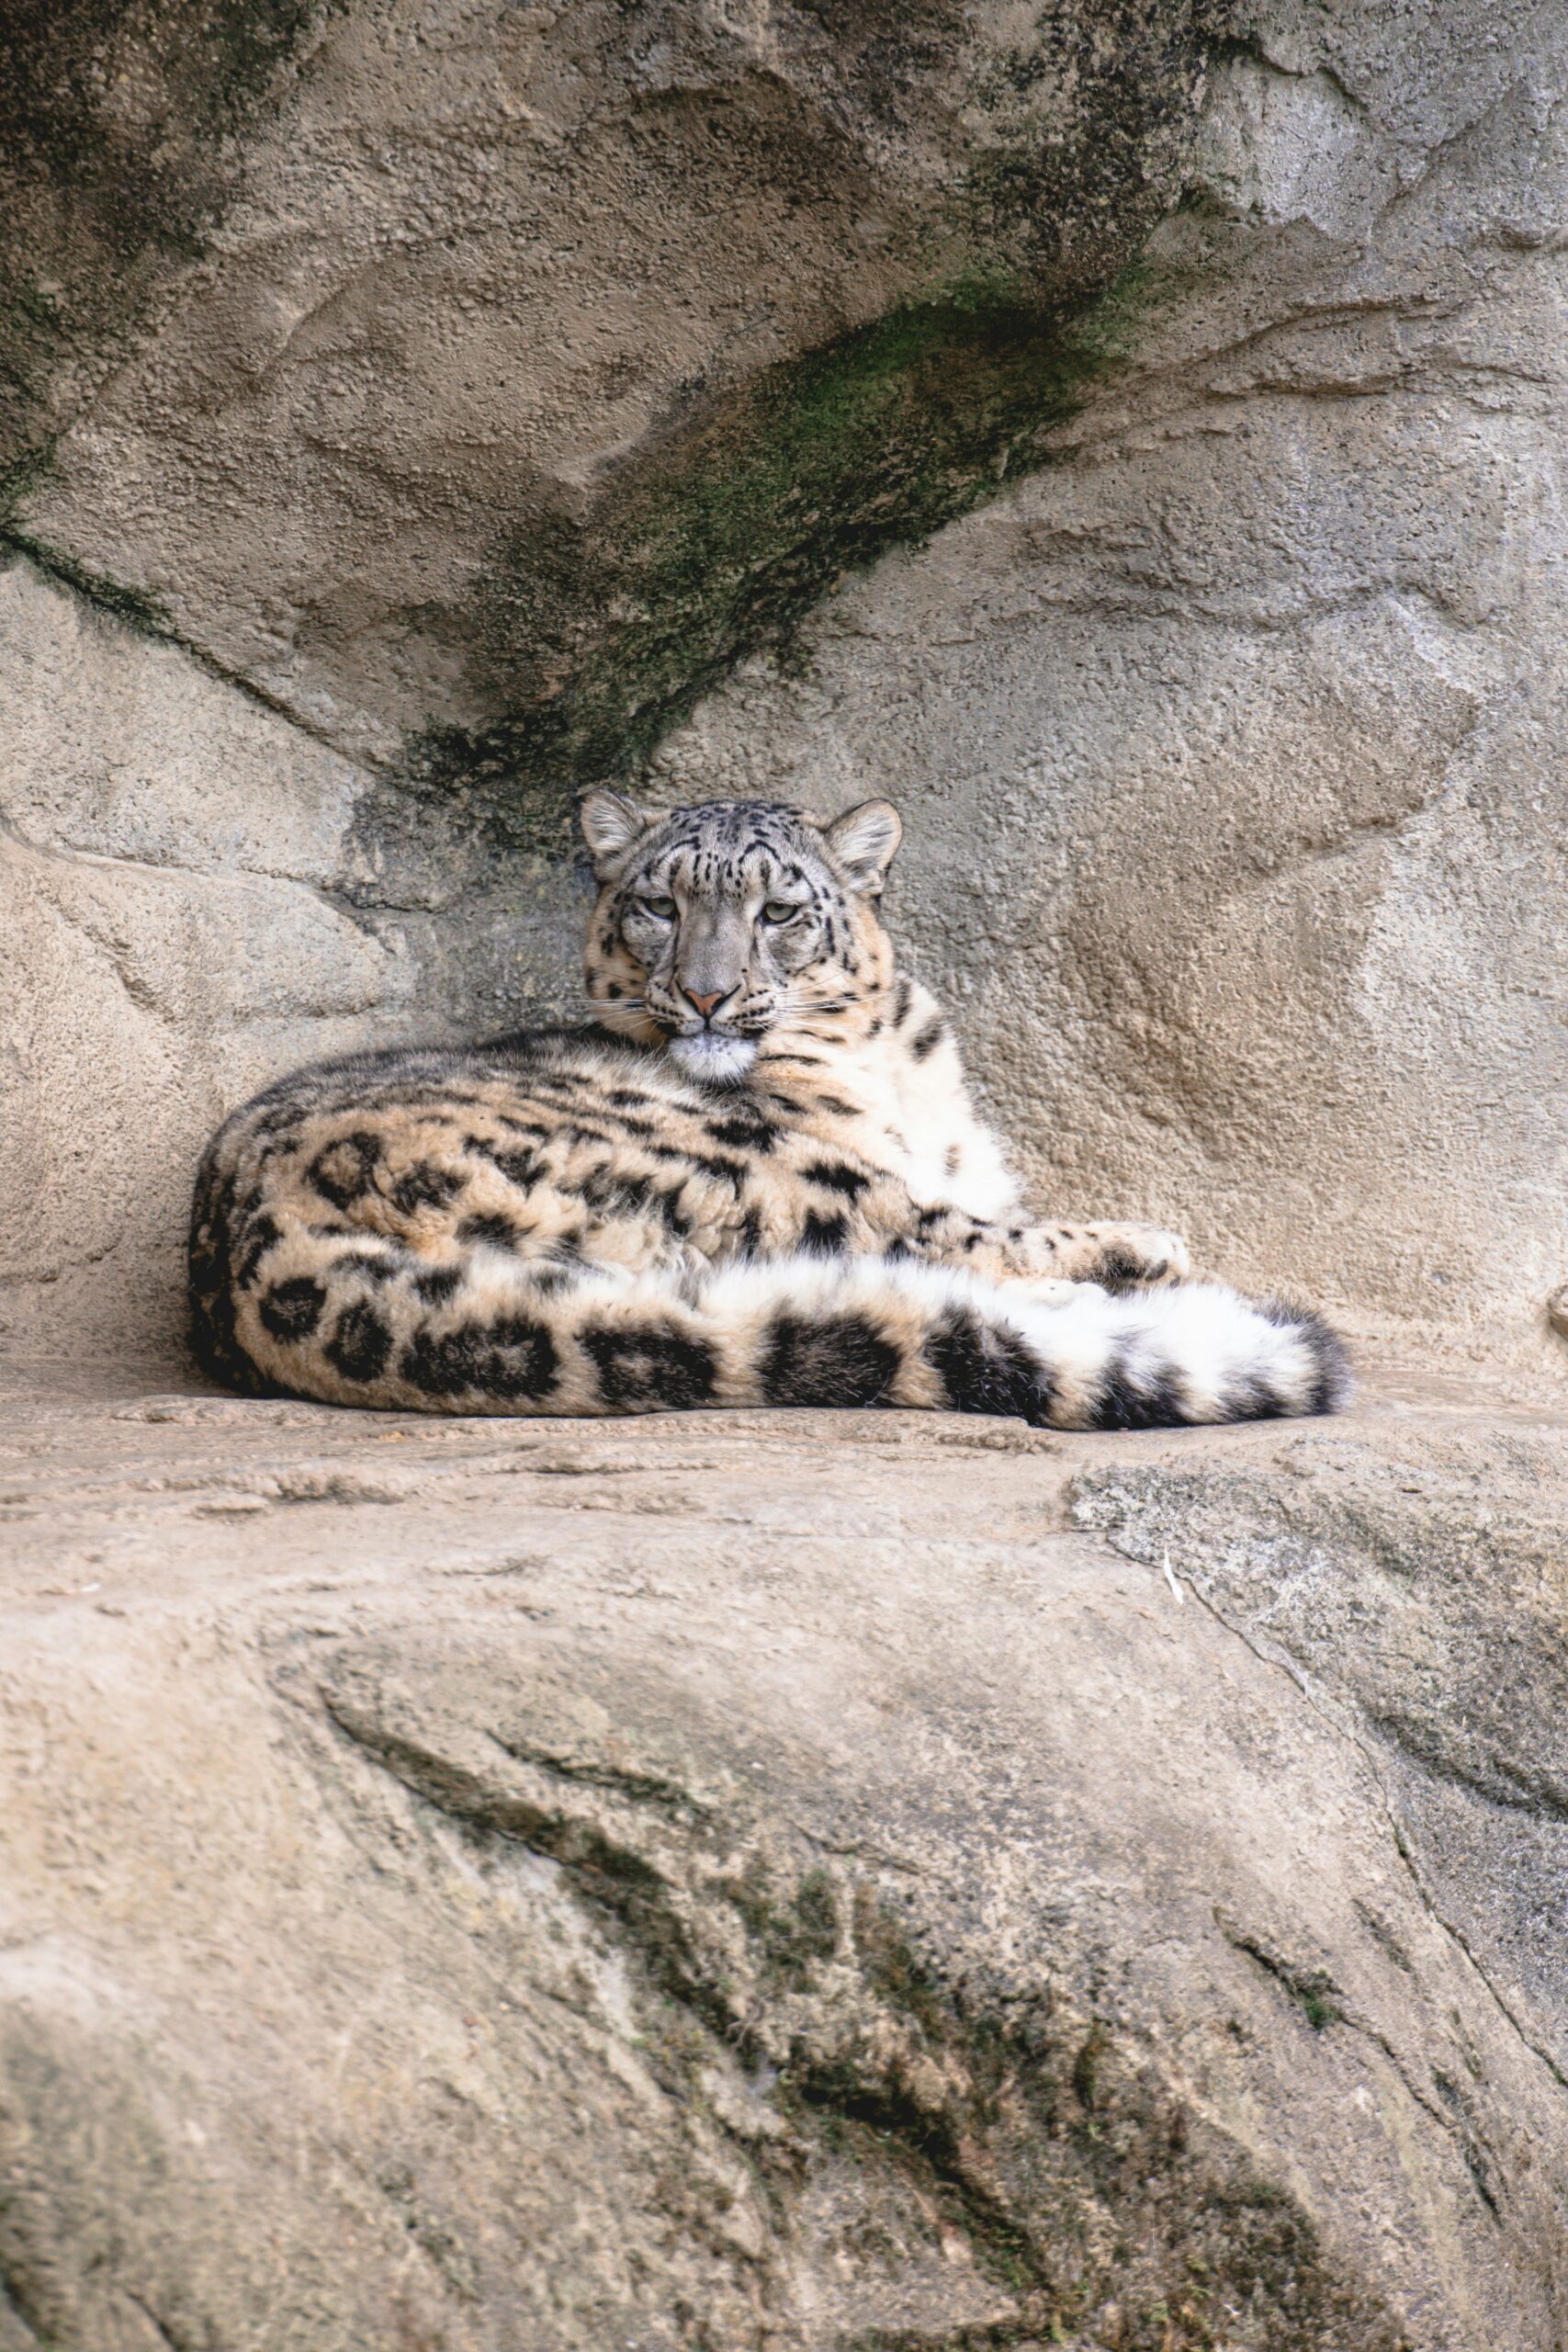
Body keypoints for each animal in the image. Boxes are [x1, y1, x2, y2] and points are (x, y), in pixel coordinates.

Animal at [190, 790, 1354, 1420]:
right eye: (658, 905)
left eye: (780, 909)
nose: (707, 992)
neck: (897, 1067)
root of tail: (251, 1254)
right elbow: (986, 1223)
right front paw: (1139, 1240)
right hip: (743, 1161)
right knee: (927, 1244)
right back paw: (1138, 1262)